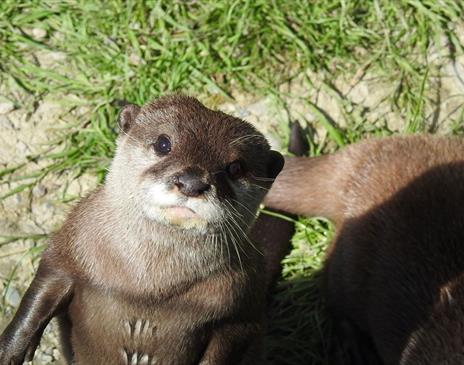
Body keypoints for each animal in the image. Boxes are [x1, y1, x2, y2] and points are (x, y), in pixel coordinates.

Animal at [0, 94, 282, 364]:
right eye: (163, 143)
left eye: (236, 168)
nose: (192, 182)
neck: (147, 287)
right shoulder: (72, 246)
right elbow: (44, 288)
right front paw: (10, 349)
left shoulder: (243, 305)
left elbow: (231, 340)